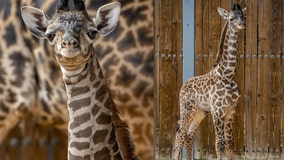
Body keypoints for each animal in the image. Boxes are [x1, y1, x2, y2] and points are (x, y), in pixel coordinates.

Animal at [174, 3, 245, 160]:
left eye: (244, 17)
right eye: (231, 18)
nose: (242, 25)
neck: (228, 74)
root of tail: (183, 85)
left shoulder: (231, 110)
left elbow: (229, 142)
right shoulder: (217, 111)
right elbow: (219, 143)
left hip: (199, 112)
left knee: (188, 135)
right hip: (187, 109)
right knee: (180, 134)